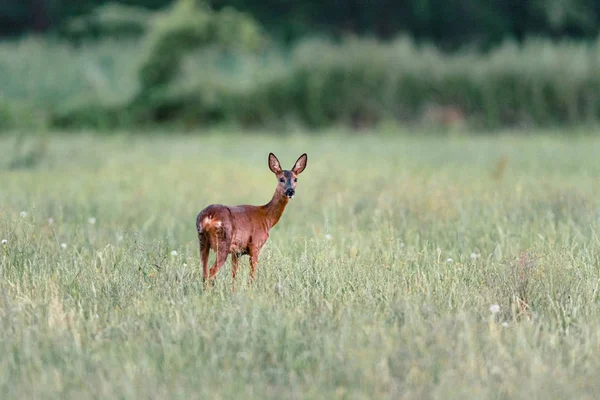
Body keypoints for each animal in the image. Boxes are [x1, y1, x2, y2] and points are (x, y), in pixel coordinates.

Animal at [197, 152, 308, 288]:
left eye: (295, 179)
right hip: (223, 242)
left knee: (204, 272)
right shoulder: (255, 246)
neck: (267, 218)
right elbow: (252, 276)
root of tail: (208, 217)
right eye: (281, 179)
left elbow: (234, 276)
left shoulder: (236, 252)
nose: (290, 191)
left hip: (203, 242)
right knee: (211, 271)